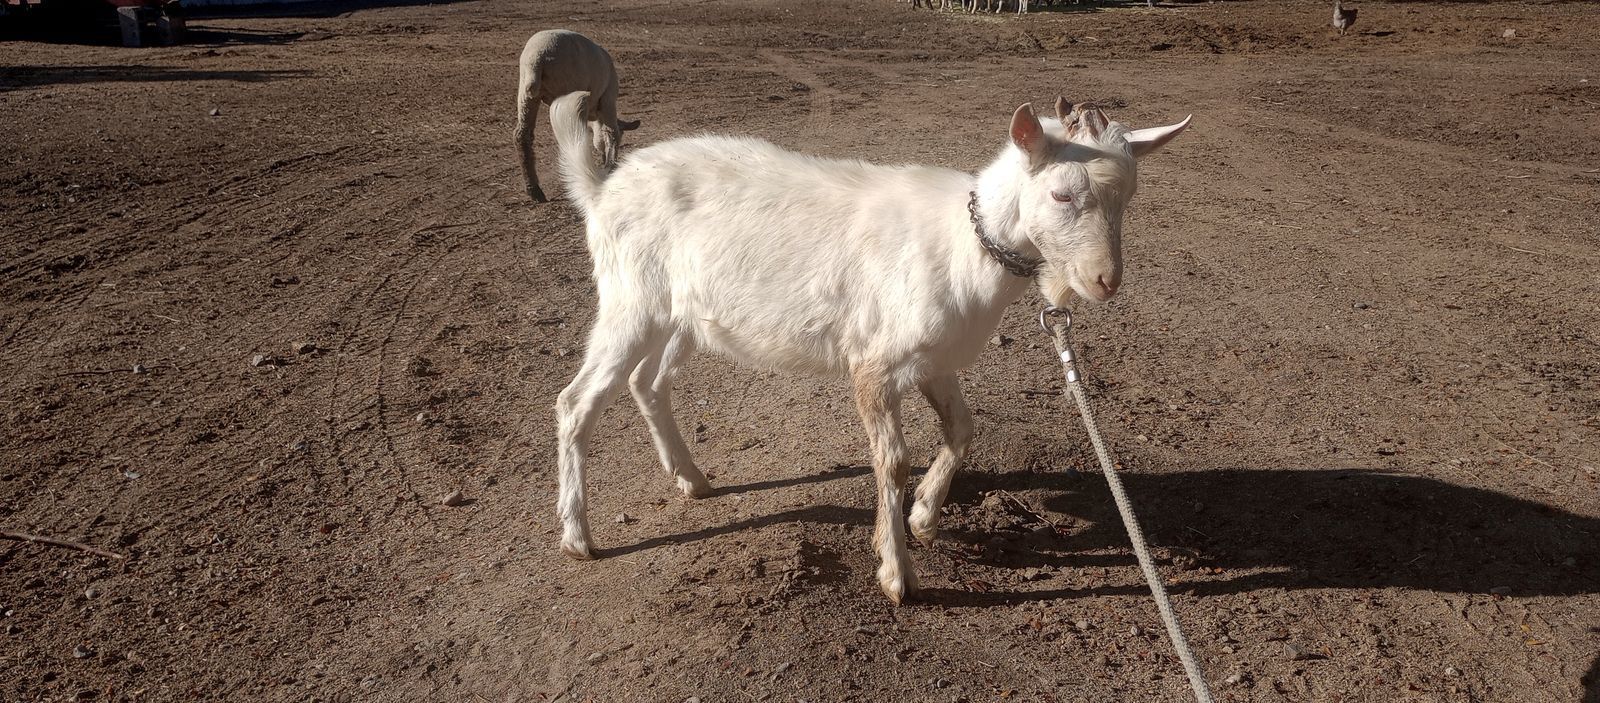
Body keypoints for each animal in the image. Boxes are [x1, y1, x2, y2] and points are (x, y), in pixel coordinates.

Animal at [514, 29, 640, 203]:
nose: (604, 158)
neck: (595, 118)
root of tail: (537, 58)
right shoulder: (608, 98)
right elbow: (611, 132)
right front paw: (610, 167)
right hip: (568, 86)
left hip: (526, 93)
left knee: (522, 135)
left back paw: (534, 191)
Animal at [546, 91, 1190, 603]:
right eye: (1060, 196)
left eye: (1128, 198)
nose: (1105, 281)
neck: (962, 246)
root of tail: (602, 188)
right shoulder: (874, 365)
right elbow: (893, 459)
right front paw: (897, 573)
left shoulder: (933, 359)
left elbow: (963, 430)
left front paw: (925, 517)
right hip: (629, 298)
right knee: (576, 402)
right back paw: (578, 537)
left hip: (680, 318)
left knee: (646, 381)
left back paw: (692, 478)